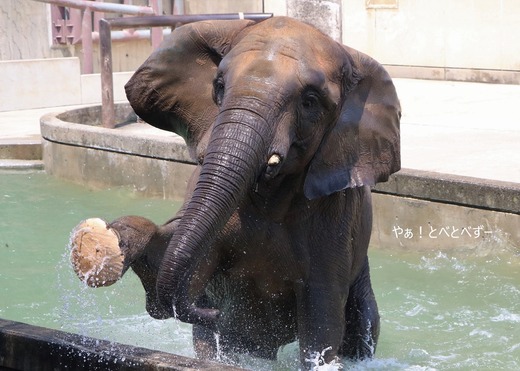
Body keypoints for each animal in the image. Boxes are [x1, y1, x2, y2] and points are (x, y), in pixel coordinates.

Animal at [71, 16, 400, 370]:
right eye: (219, 86)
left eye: (310, 101)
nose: (212, 312)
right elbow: (191, 264)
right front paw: (105, 240)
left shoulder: (336, 219)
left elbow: (321, 318)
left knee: (363, 324)